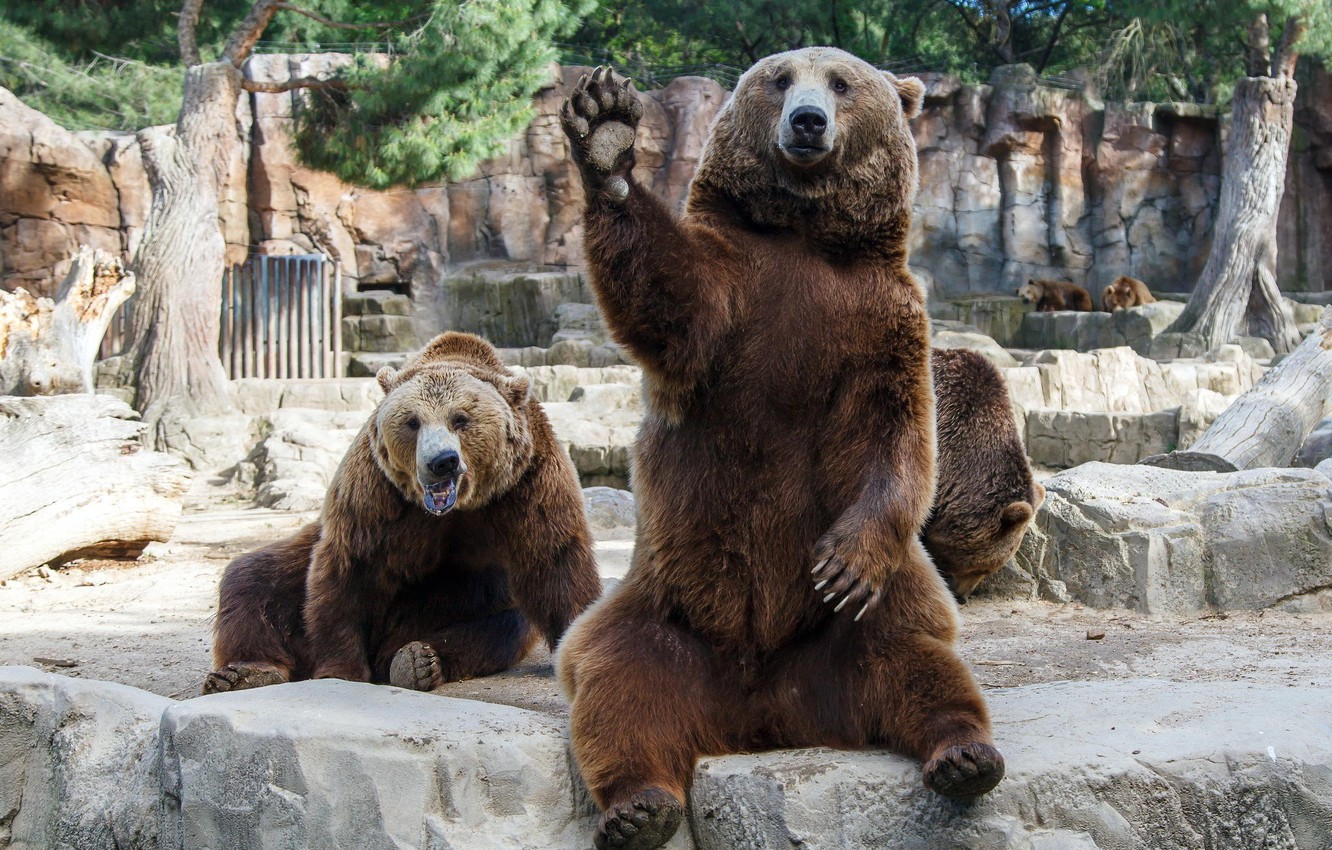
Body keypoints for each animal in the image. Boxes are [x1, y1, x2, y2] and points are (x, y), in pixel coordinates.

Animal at [204, 332, 602, 695]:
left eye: (460, 418)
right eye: (413, 421)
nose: (441, 461)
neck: (457, 508)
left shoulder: (528, 483)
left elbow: (556, 563)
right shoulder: (376, 491)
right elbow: (349, 568)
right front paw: (341, 669)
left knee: (501, 626)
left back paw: (418, 661)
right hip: (296, 562)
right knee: (254, 580)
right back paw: (245, 671)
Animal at [556, 52, 1004, 850]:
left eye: (842, 84)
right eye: (781, 78)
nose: (808, 121)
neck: (805, 238)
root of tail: (762, 714)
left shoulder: (883, 319)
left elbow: (900, 436)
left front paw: (845, 562)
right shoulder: (736, 292)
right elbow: (668, 299)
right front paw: (606, 132)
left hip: (850, 630)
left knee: (914, 658)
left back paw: (964, 754)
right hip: (665, 611)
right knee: (619, 684)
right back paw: (640, 808)